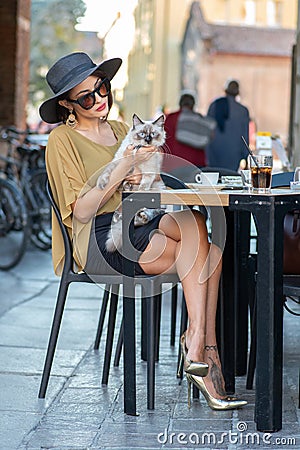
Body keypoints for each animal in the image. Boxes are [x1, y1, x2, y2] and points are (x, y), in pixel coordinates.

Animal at [96, 114, 166, 251]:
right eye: (142, 134)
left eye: (153, 134)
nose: (148, 140)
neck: (138, 149)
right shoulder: (118, 162)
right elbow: (106, 173)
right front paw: (102, 184)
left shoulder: (148, 172)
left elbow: (143, 186)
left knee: (154, 211)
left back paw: (142, 216)